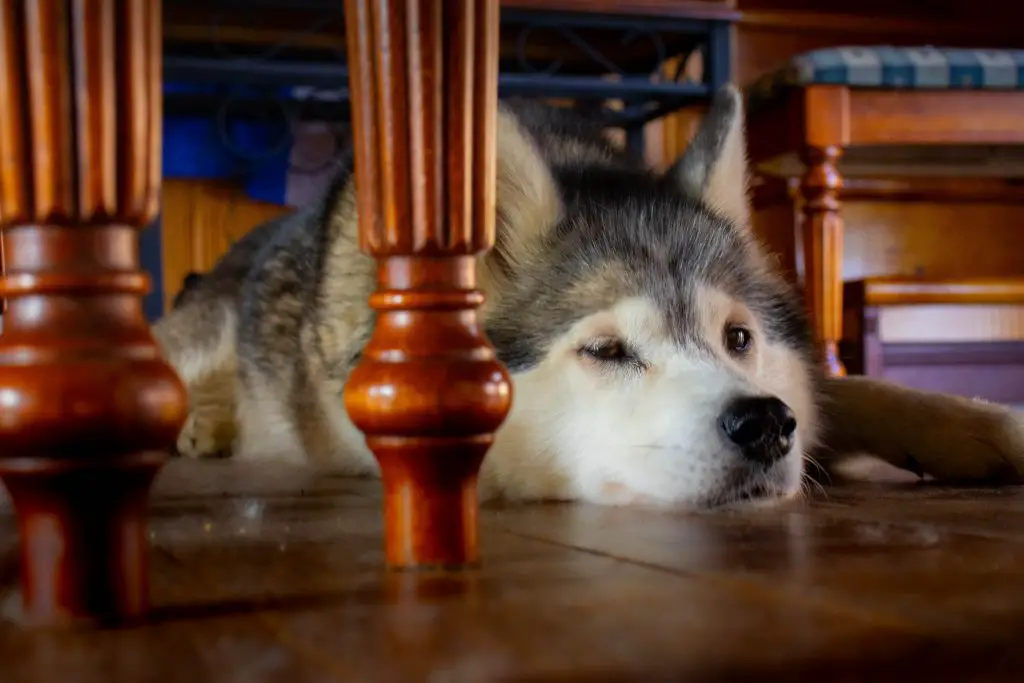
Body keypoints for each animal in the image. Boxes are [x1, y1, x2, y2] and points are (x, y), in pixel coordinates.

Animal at [151, 87, 1024, 507]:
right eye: (605, 349)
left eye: (738, 339)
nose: (766, 424)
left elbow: (865, 389)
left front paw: (989, 428)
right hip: (193, 335)